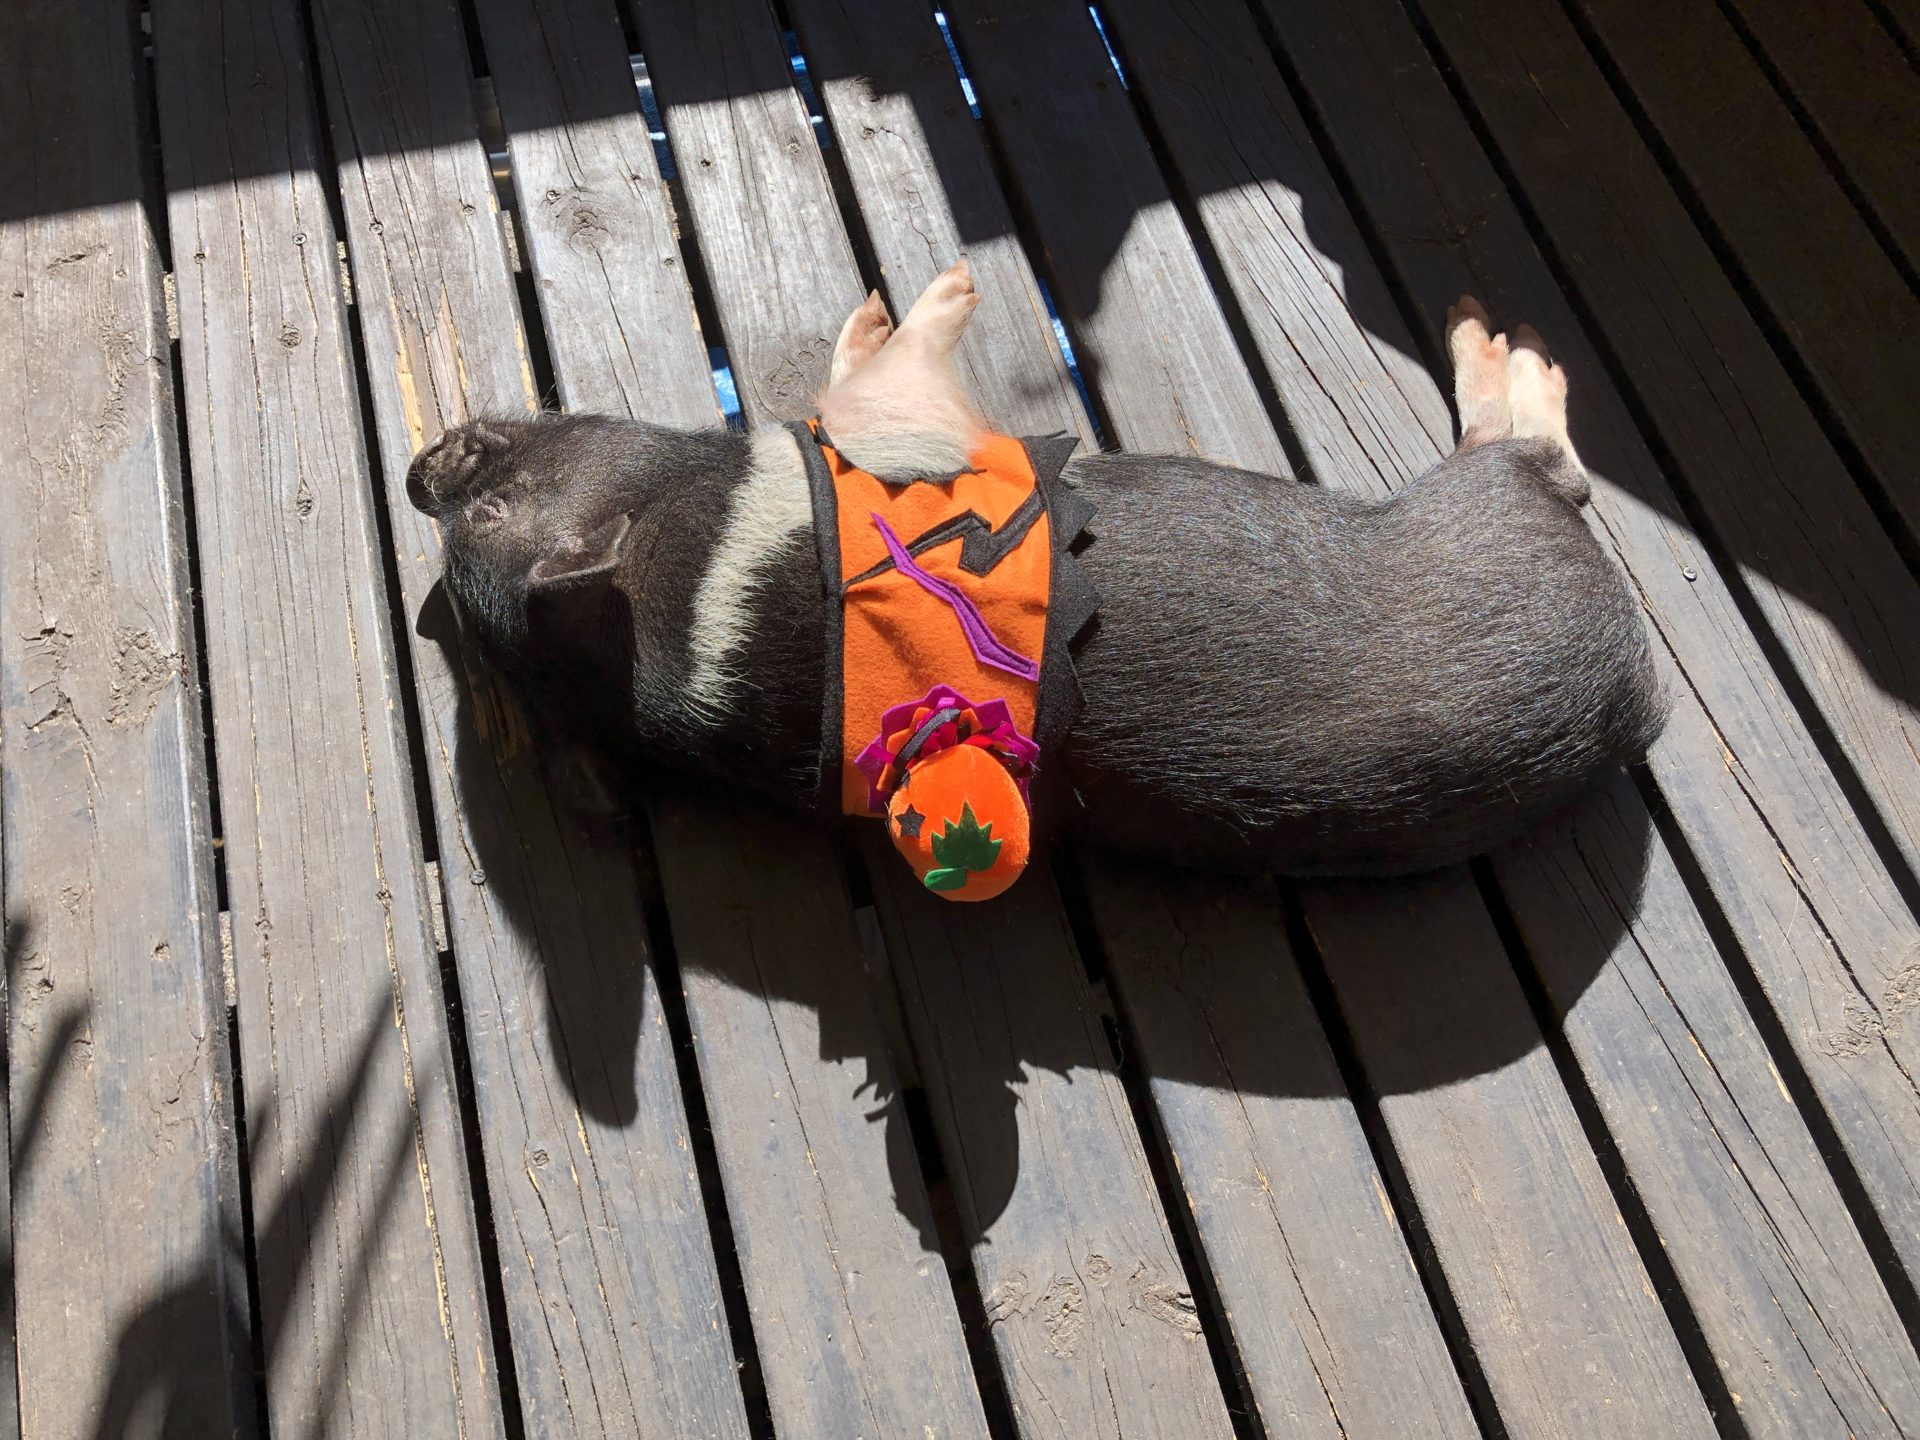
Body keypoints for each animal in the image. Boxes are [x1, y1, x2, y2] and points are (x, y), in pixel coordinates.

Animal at [406, 261, 1664, 876]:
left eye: (486, 504)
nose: (420, 471)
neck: (702, 576)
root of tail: (1634, 698)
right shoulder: (905, 431)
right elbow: (882, 369)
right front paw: (942, 290)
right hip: (1495, 496)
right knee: (1539, 451)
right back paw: (1496, 337)